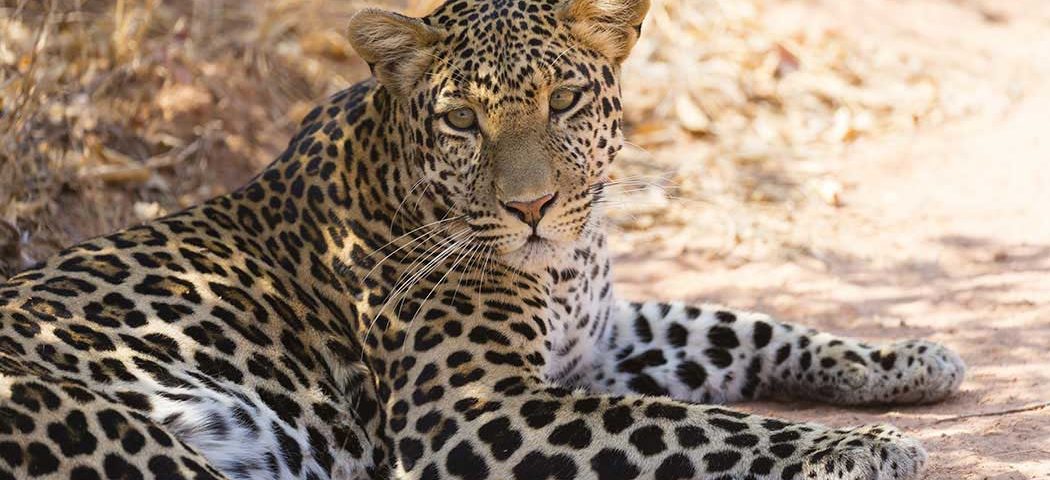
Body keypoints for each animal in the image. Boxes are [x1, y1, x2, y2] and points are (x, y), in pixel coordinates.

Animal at [0, 0, 967, 479]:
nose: (533, 206)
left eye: (565, 102)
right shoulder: (471, 406)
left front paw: (905, 359)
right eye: (462, 119)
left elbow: (739, 325)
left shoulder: (597, 336)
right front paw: (859, 449)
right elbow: (693, 424)